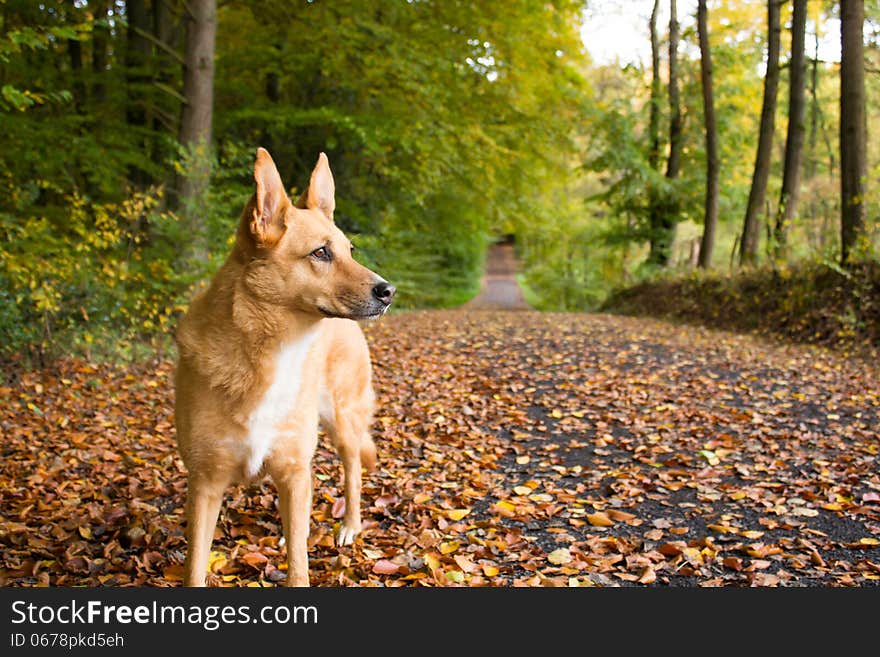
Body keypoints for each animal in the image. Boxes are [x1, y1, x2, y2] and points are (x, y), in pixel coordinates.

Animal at [174, 147, 394, 584]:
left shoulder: (294, 470)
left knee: (352, 473)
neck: (271, 351)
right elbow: (195, 568)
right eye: (320, 253)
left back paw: (350, 526)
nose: (388, 291)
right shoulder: (205, 485)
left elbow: (299, 566)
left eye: (349, 250)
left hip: (342, 423)